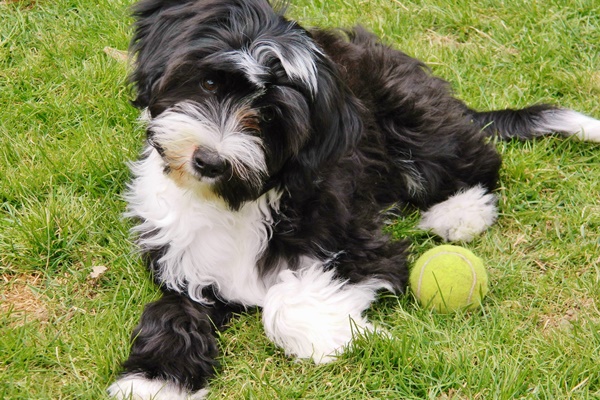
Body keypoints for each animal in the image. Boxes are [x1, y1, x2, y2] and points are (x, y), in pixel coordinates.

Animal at [109, 1, 600, 398]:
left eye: (269, 115)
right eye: (210, 83)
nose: (208, 160)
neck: (236, 200)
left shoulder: (359, 245)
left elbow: (283, 304)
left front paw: (339, 337)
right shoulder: (180, 256)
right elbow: (173, 310)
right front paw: (153, 381)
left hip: (413, 119)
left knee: (478, 160)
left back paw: (461, 212)